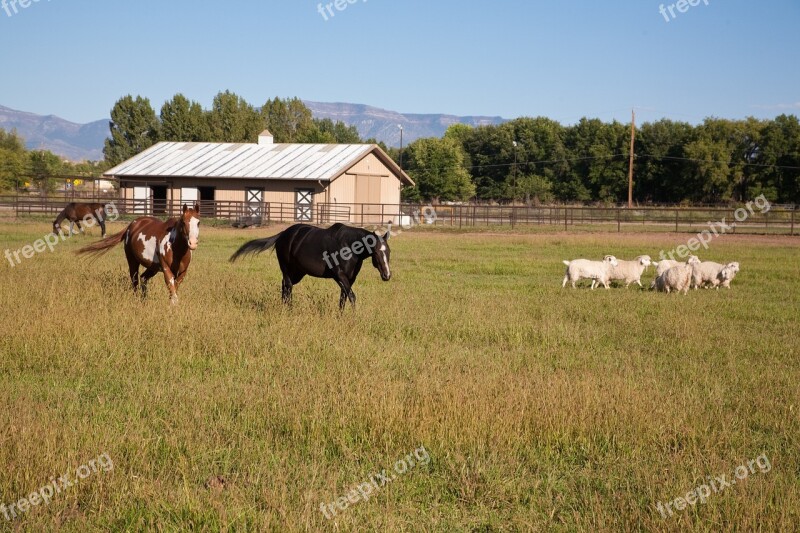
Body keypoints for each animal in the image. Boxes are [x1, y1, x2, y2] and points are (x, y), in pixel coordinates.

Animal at [230, 222, 392, 310]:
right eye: (376, 252)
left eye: (388, 251)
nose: (387, 275)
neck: (349, 246)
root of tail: (282, 234)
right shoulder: (339, 275)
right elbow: (352, 296)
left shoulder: (350, 278)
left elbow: (344, 297)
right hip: (287, 269)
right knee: (287, 287)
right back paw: (289, 310)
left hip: (298, 273)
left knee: (284, 287)